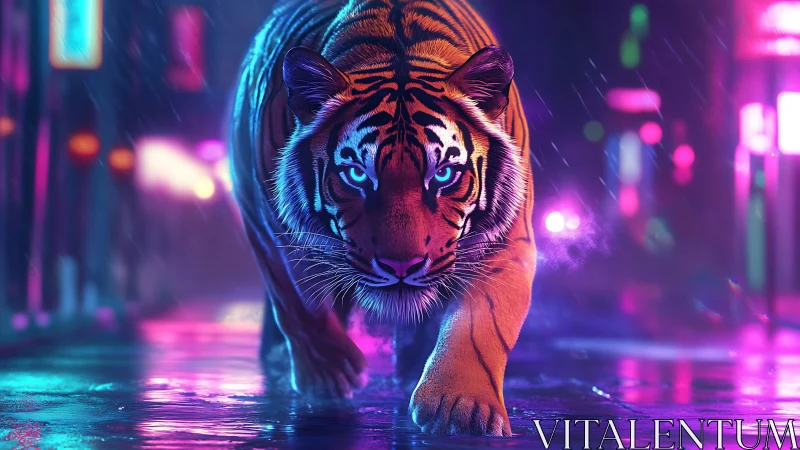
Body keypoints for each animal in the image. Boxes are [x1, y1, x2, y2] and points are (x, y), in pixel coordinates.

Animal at [228, 0, 536, 436]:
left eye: (444, 174)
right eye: (357, 175)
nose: (401, 265)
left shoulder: (507, 240)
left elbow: (480, 325)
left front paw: (460, 408)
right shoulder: (273, 224)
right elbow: (298, 300)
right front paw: (329, 373)